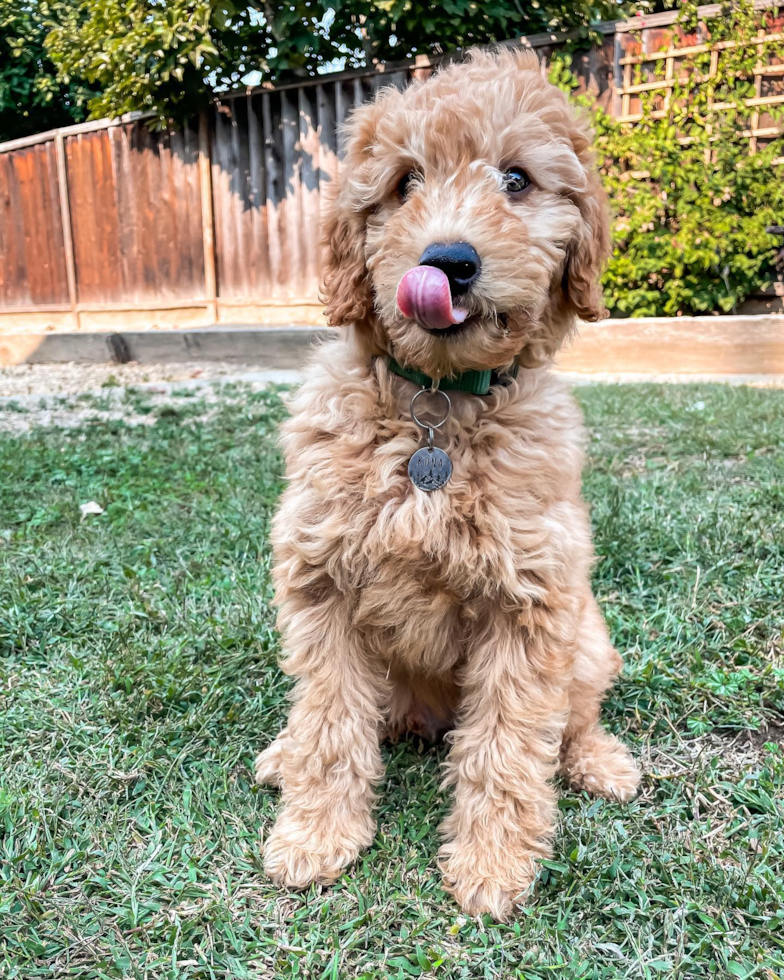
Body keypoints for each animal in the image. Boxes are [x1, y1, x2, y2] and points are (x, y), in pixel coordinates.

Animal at [254, 46, 640, 920]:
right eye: (404, 183)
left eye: (518, 179)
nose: (448, 262)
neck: (435, 406)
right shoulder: (320, 581)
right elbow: (329, 722)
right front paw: (316, 836)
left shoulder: (530, 603)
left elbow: (507, 745)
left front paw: (492, 866)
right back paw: (284, 753)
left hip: (588, 638)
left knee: (574, 718)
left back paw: (600, 762)